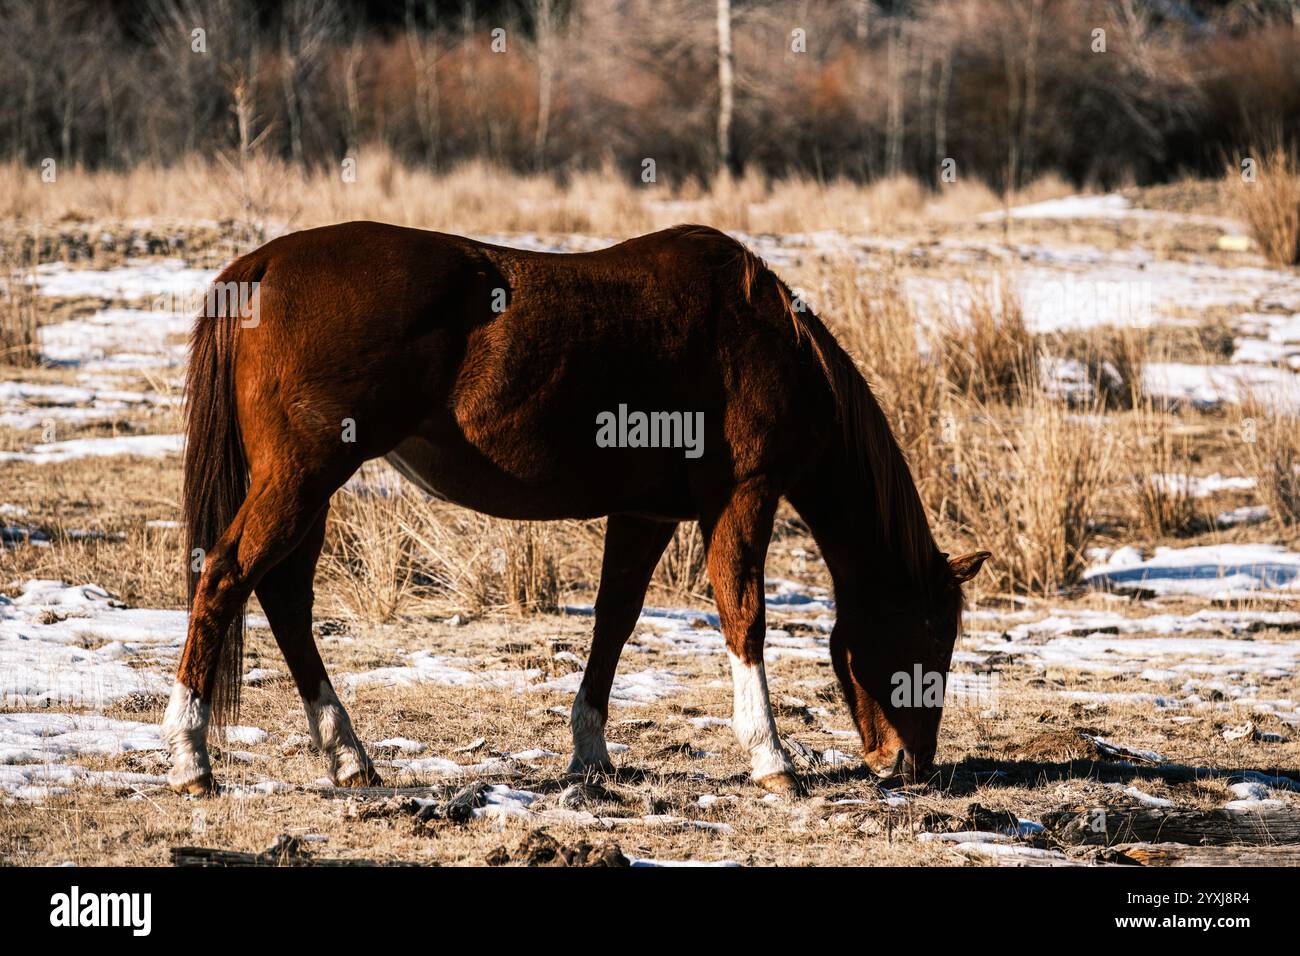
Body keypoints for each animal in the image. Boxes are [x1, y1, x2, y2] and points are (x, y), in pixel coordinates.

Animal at [165, 221, 993, 796]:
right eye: (932, 634)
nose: (910, 763)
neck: (762, 332)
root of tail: (261, 266)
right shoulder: (744, 495)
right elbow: (745, 616)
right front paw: (771, 758)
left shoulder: (645, 514)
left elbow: (614, 623)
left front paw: (590, 754)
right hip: (304, 476)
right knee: (227, 579)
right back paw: (190, 759)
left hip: (309, 487)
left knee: (283, 598)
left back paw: (347, 756)